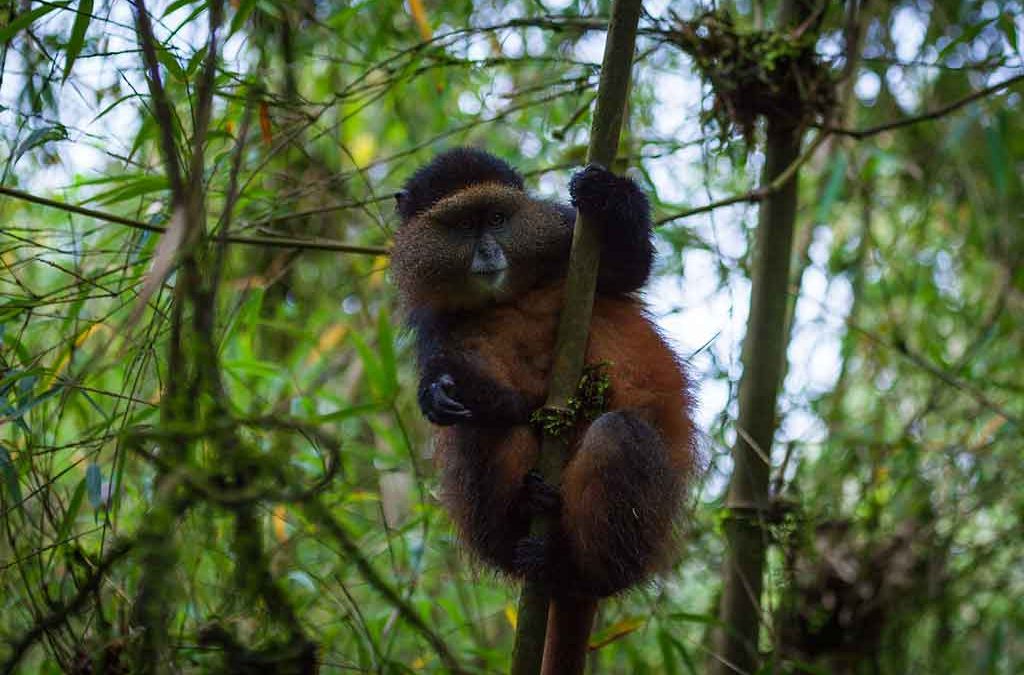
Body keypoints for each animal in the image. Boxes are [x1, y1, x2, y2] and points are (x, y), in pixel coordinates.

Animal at [390, 147, 696, 603]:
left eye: (497, 219)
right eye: (463, 226)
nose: (488, 252)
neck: (505, 294)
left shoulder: (567, 240)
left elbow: (629, 268)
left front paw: (605, 191)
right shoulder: (434, 322)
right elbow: (488, 393)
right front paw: (438, 391)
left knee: (619, 433)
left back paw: (572, 570)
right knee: (489, 428)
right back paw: (527, 513)